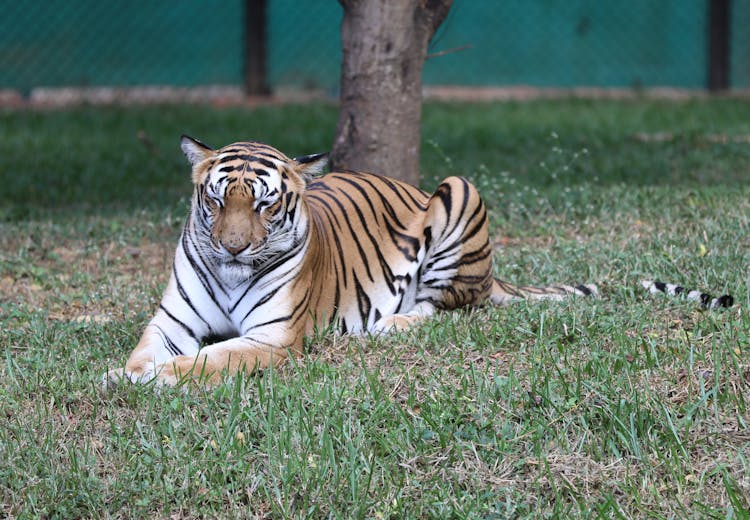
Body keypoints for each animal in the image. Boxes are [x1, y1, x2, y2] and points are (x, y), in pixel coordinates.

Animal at [103, 136, 732, 388]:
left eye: (264, 204)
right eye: (215, 200)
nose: (234, 247)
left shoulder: (271, 340)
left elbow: (208, 360)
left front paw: (155, 377)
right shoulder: (171, 321)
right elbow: (147, 350)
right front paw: (126, 372)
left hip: (459, 191)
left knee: (444, 308)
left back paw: (390, 325)